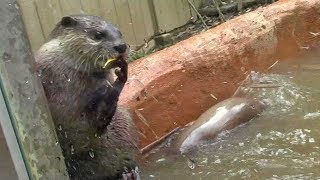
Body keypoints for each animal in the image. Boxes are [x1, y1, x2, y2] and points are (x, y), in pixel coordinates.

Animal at [35, 14, 139, 179]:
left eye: (120, 33)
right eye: (97, 35)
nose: (121, 46)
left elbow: (100, 122)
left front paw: (122, 74)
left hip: (122, 122)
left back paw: (128, 173)